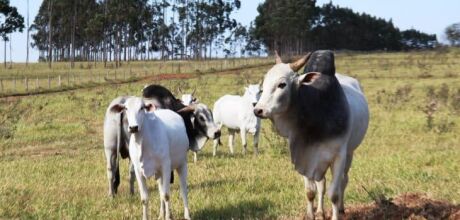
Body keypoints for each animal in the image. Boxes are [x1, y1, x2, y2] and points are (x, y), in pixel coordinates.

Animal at [253, 50, 368, 220]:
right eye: (264, 84)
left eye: (282, 84)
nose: (258, 110)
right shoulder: (304, 156)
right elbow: (310, 192)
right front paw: (312, 214)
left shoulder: (338, 156)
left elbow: (334, 194)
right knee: (322, 184)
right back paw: (320, 211)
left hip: (350, 153)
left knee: (343, 181)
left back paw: (341, 209)